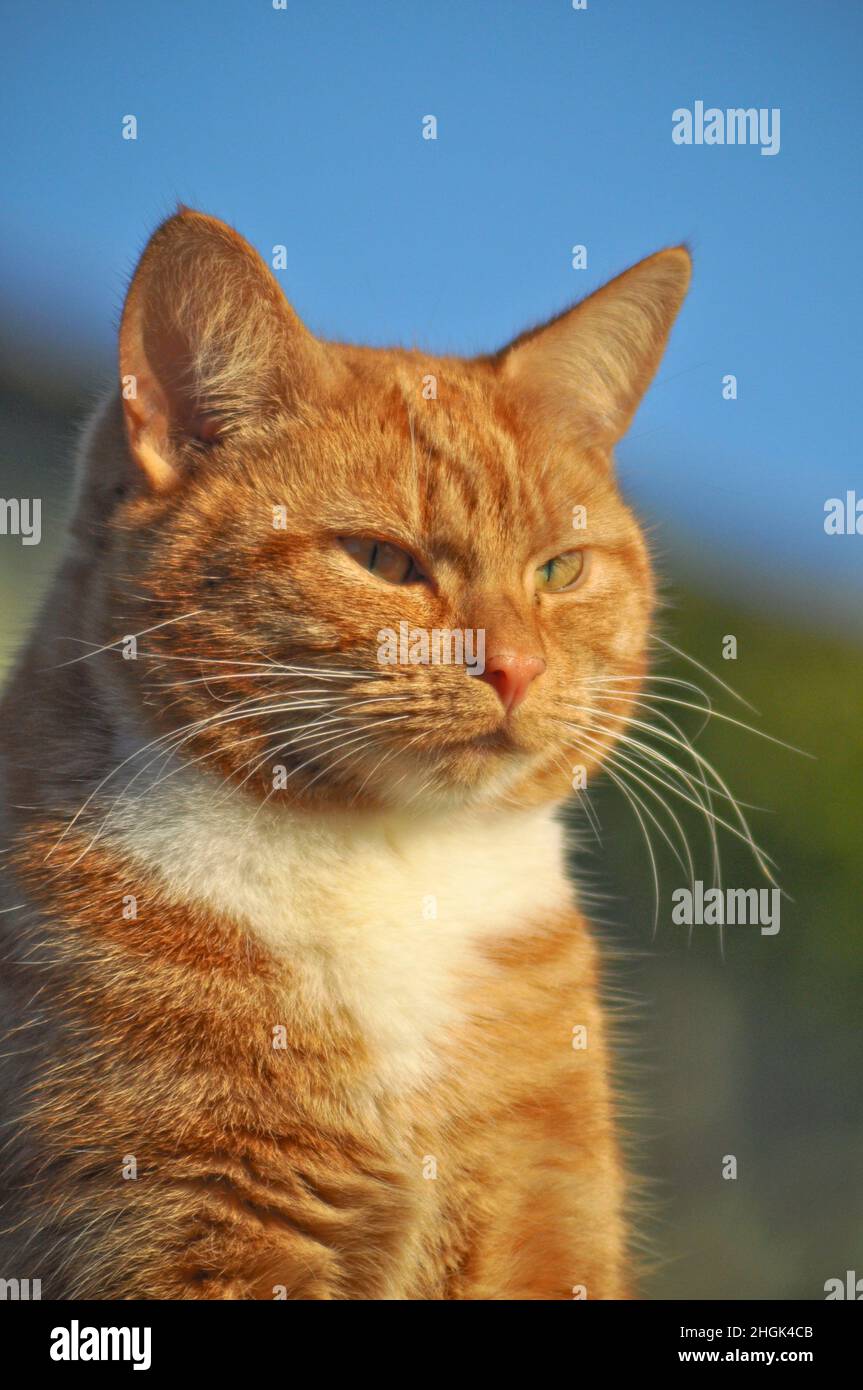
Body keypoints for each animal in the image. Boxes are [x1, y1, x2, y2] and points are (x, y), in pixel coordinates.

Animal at [0, 208, 686, 1301]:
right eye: (381, 562)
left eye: (560, 569)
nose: (518, 666)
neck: (393, 865)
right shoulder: (175, 1220)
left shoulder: (544, 1218)